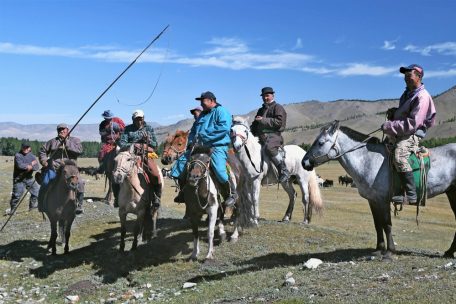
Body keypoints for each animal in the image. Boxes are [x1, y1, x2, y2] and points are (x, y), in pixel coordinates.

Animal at [302, 120, 456, 258]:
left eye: (320, 142)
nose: (304, 162)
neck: (368, 160)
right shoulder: (373, 201)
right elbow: (378, 224)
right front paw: (379, 249)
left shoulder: (383, 200)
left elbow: (387, 224)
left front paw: (389, 251)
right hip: (451, 193)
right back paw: (449, 252)